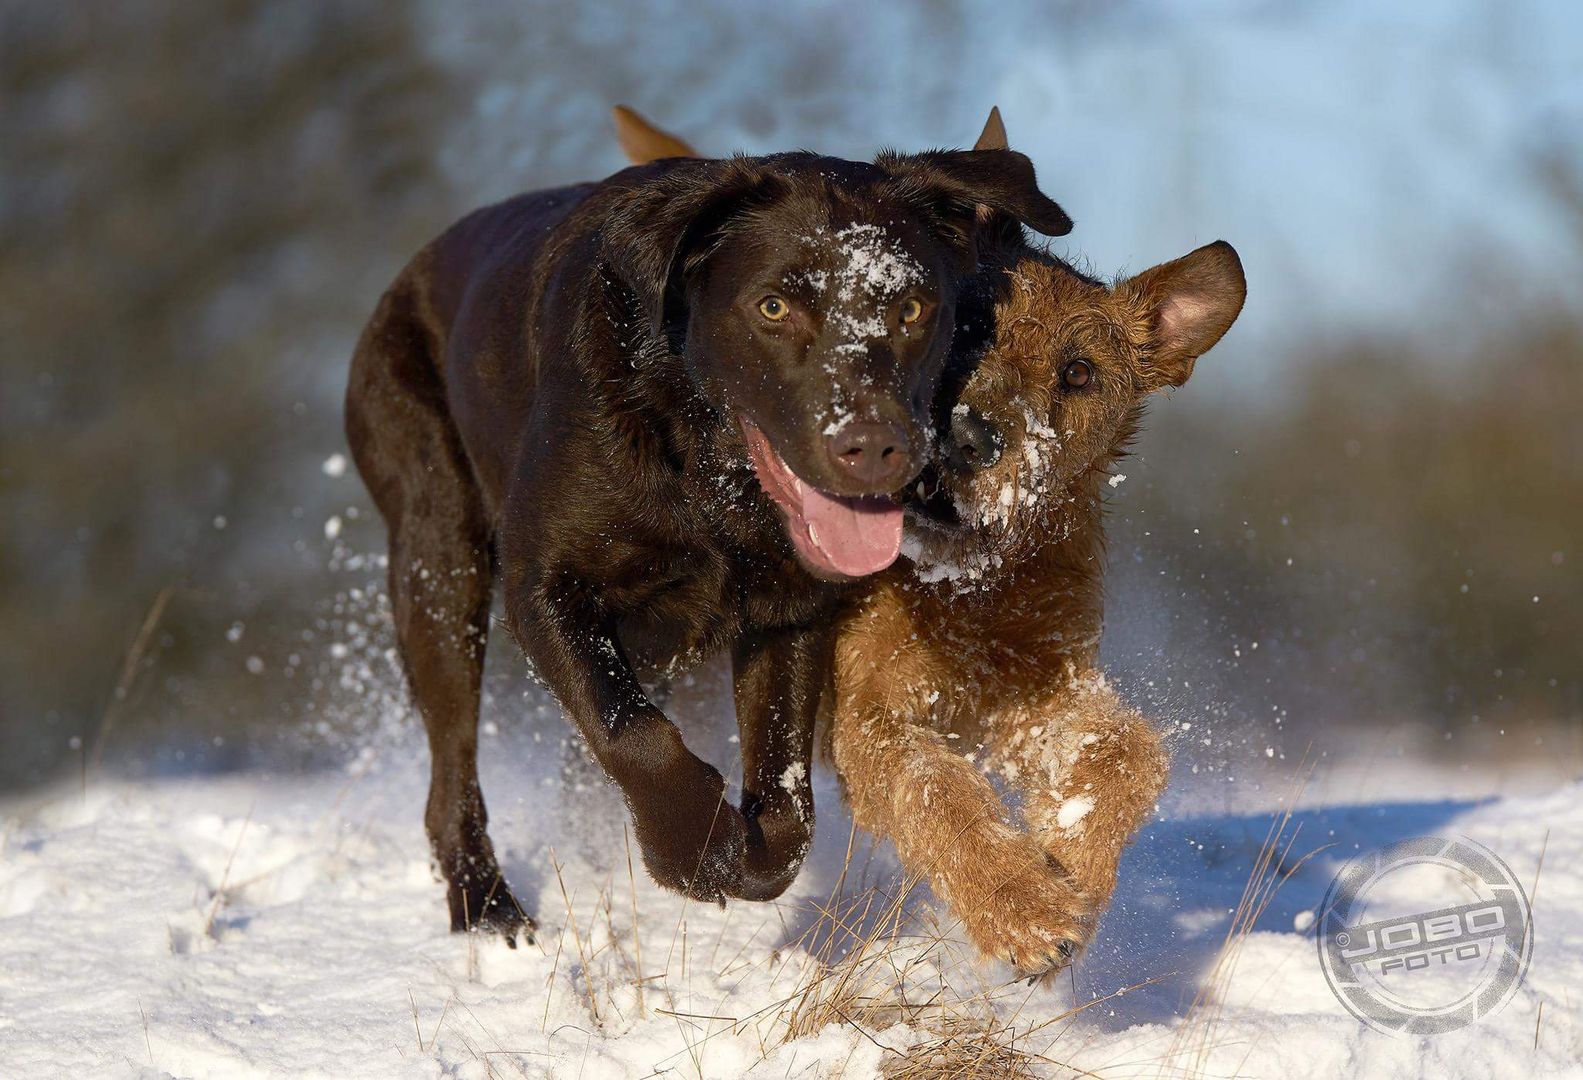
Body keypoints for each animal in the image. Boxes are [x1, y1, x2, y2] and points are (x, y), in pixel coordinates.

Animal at [341, 149, 1070, 931]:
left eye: (910, 308)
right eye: (773, 307)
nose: (874, 447)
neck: (704, 474)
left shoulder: (790, 610)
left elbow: (786, 793)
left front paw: (744, 859)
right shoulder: (544, 587)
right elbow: (633, 731)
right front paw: (692, 852)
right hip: (439, 561)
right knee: (451, 769)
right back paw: (488, 910)